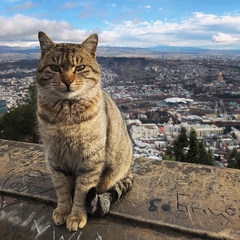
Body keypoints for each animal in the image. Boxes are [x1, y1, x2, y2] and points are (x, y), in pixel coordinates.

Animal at [36, 31, 133, 232]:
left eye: (79, 67)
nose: (67, 81)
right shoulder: (55, 157)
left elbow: (83, 190)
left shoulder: (91, 158)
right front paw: (63, 210)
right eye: (54, 67)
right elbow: (62, 187)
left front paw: (76, 215)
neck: (66, 113)